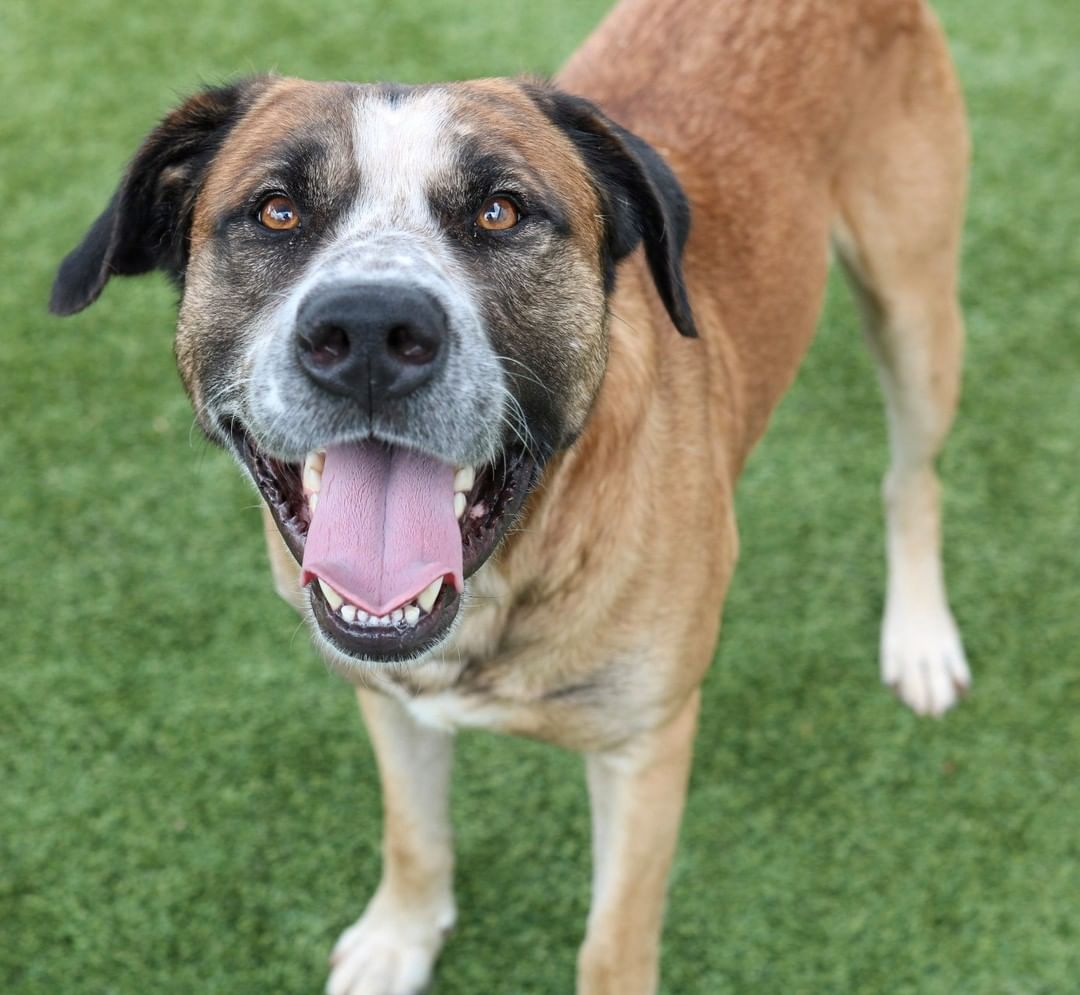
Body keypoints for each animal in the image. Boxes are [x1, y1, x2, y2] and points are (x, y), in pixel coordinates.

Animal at [50, 0, 976, 989]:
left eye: (500, 212)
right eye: (277, 210)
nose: (370, 329)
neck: (506, 580)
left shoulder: (646, 747)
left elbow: (613, 944)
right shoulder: (388, 695)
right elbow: (413, 831)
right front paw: (400, 936)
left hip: (917, 314)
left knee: (912, 478)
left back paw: (920, 636)